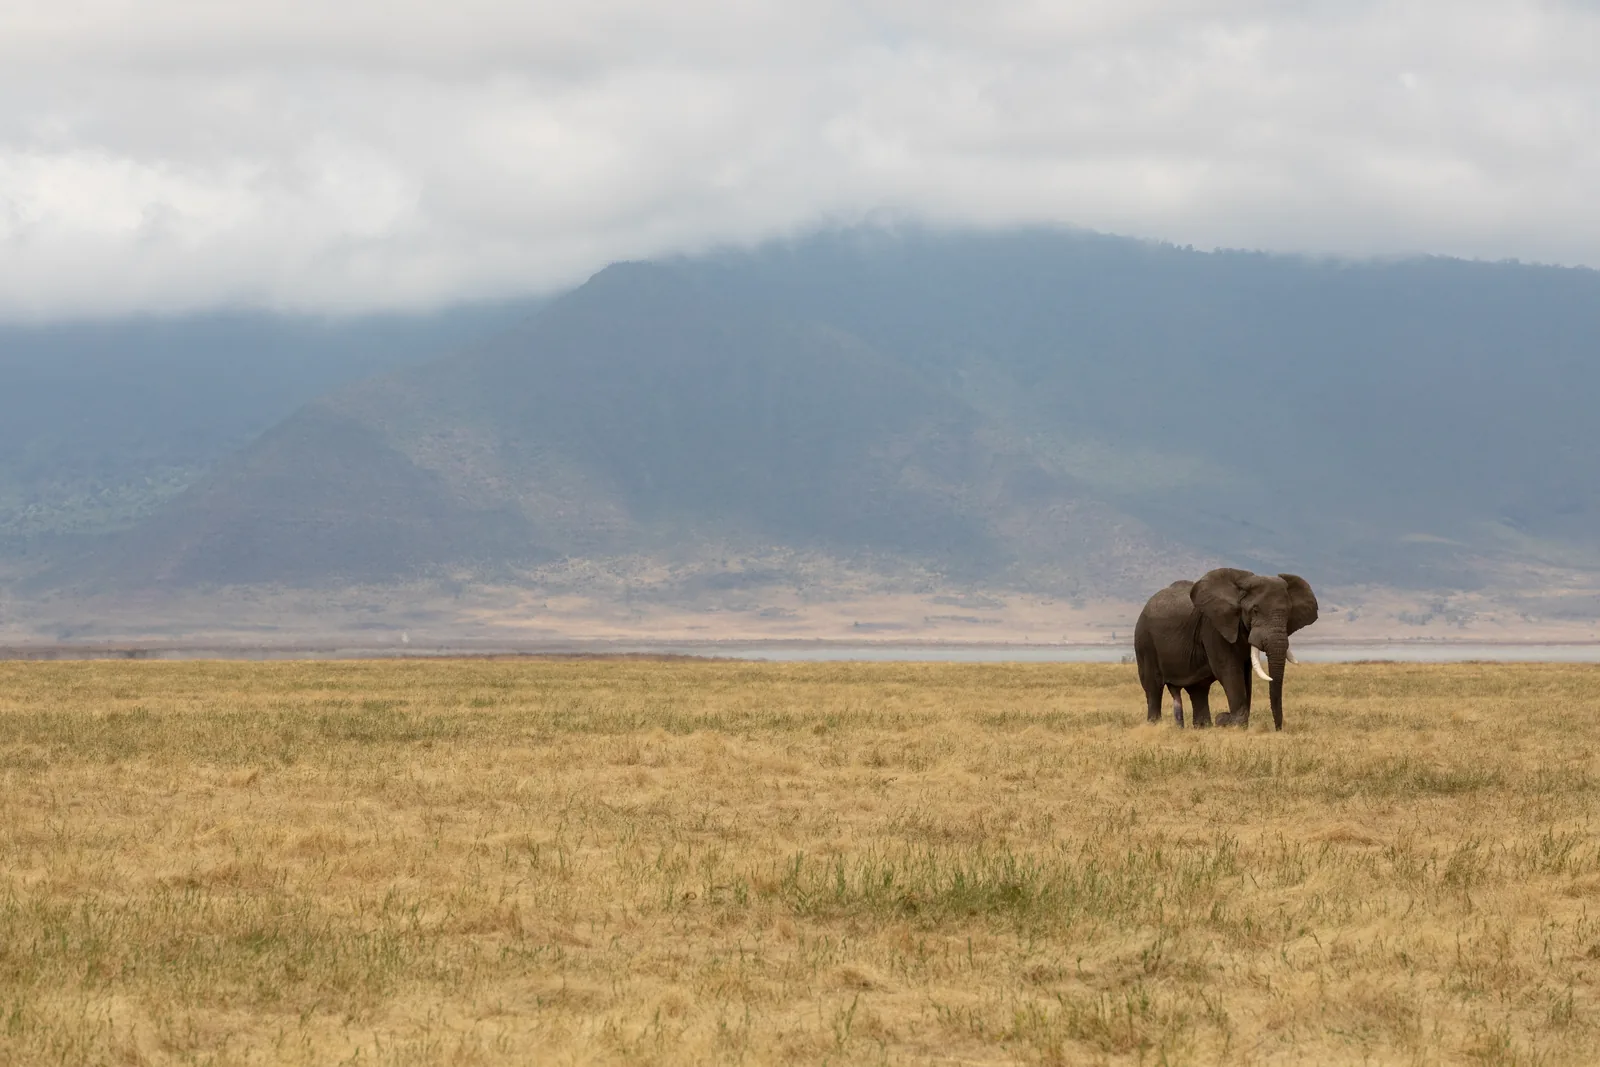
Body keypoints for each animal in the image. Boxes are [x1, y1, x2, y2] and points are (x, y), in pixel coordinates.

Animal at [1133, 568, 1318, 730]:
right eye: (1255, 610)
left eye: (1288, 612)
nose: (1278, 729)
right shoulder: (1213, 627)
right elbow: (1229, 669)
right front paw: (1235, 723)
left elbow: (1246, 674)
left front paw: (1236, 723)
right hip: (1144, 641)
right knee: (1153, 687)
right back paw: (1155, 725)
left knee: (1198, 690)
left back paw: (1203, 727)